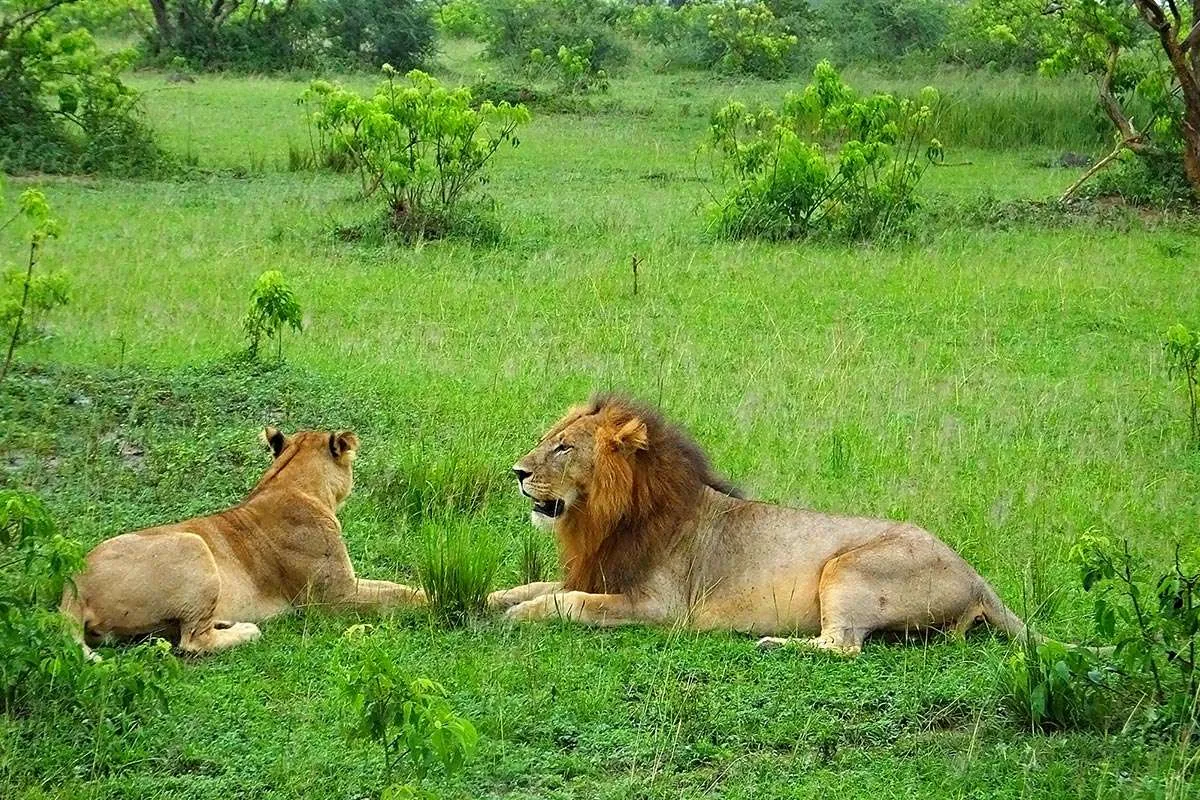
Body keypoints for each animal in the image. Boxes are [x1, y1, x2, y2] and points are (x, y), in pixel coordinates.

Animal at [63, 429, 427, 652]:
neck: (290, 483)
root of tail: (74, 584)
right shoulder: (334, 598)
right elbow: (398, 594)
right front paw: (435, 600)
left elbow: (395, 586)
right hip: (193, 544)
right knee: (192, 640)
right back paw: (247, 630)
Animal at [487, 395, 1032, 657]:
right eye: (549, 440)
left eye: (564, 448)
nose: (517, 472)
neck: (606, 519)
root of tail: (976, 575)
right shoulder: (597, 572)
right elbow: (533, 586)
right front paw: (487, 600)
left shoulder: (661, 608)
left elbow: (570, 602)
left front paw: (521, 616)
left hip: (847, 568)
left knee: (844, 646)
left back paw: (771, 644)